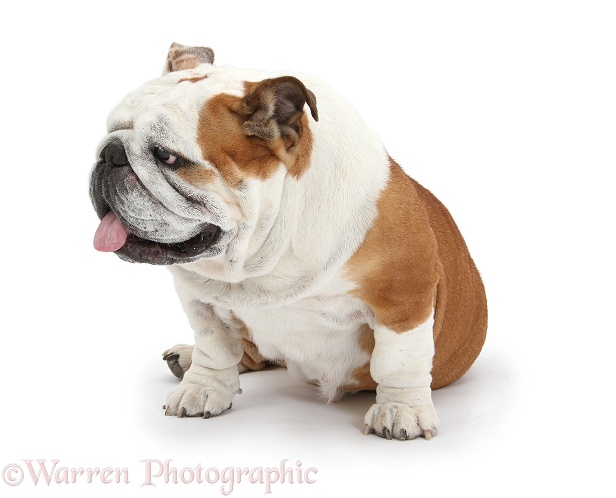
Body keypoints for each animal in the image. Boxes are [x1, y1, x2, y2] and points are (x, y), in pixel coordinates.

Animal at [90, 42, 486, 440]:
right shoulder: (200, 297)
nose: (110, 154)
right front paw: (202, 386)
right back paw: (187, 358)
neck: (262, 254)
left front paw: (401, 408)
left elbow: (397, 362)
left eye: (167, 156)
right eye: (109, 132)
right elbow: (215, 347)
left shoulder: (403, 296)